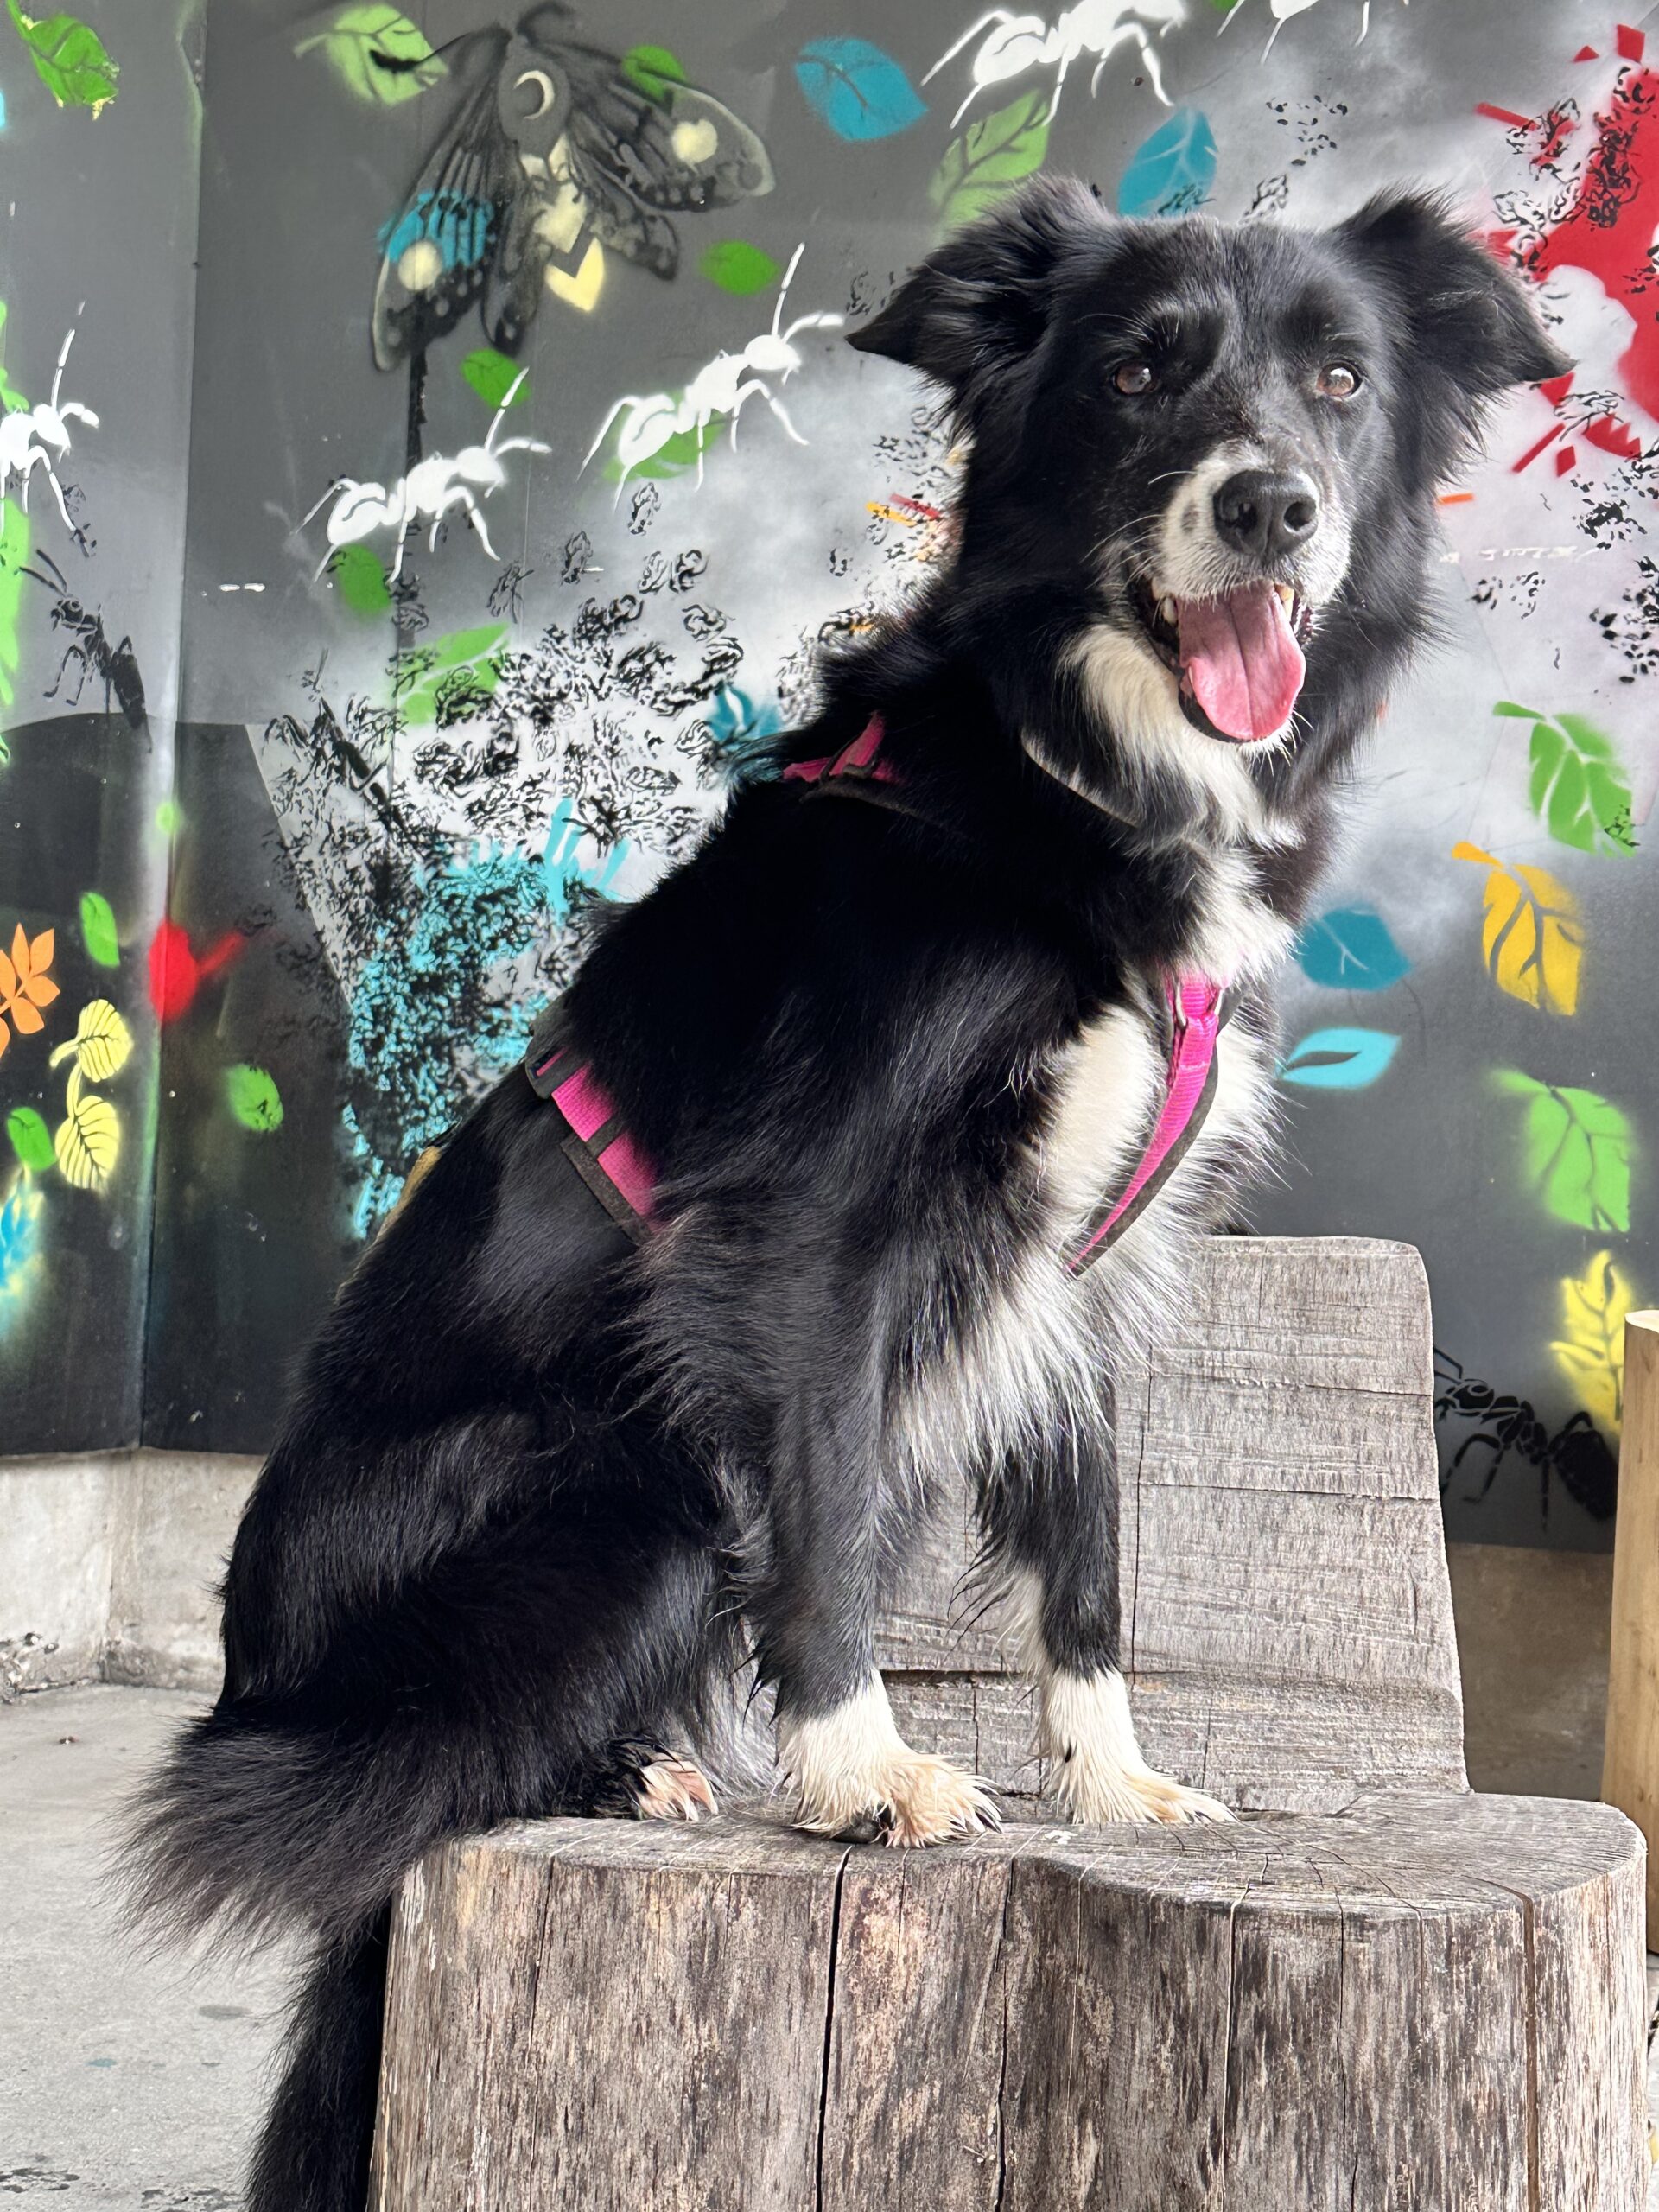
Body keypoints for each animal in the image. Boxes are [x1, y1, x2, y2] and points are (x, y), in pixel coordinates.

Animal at [127, 177, 1564, 2211]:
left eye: (1342, 378)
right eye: (1139, 373)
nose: (1270, 504)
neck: (1071, 782)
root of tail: (253, 1680)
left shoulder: (1090, 1271)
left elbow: (1091, 1555)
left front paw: (1115, 1783)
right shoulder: (806, 1234)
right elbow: (822, 1514)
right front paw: (858, 1771)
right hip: (620, 1505)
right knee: (416, 1773)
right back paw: (622, 1770)